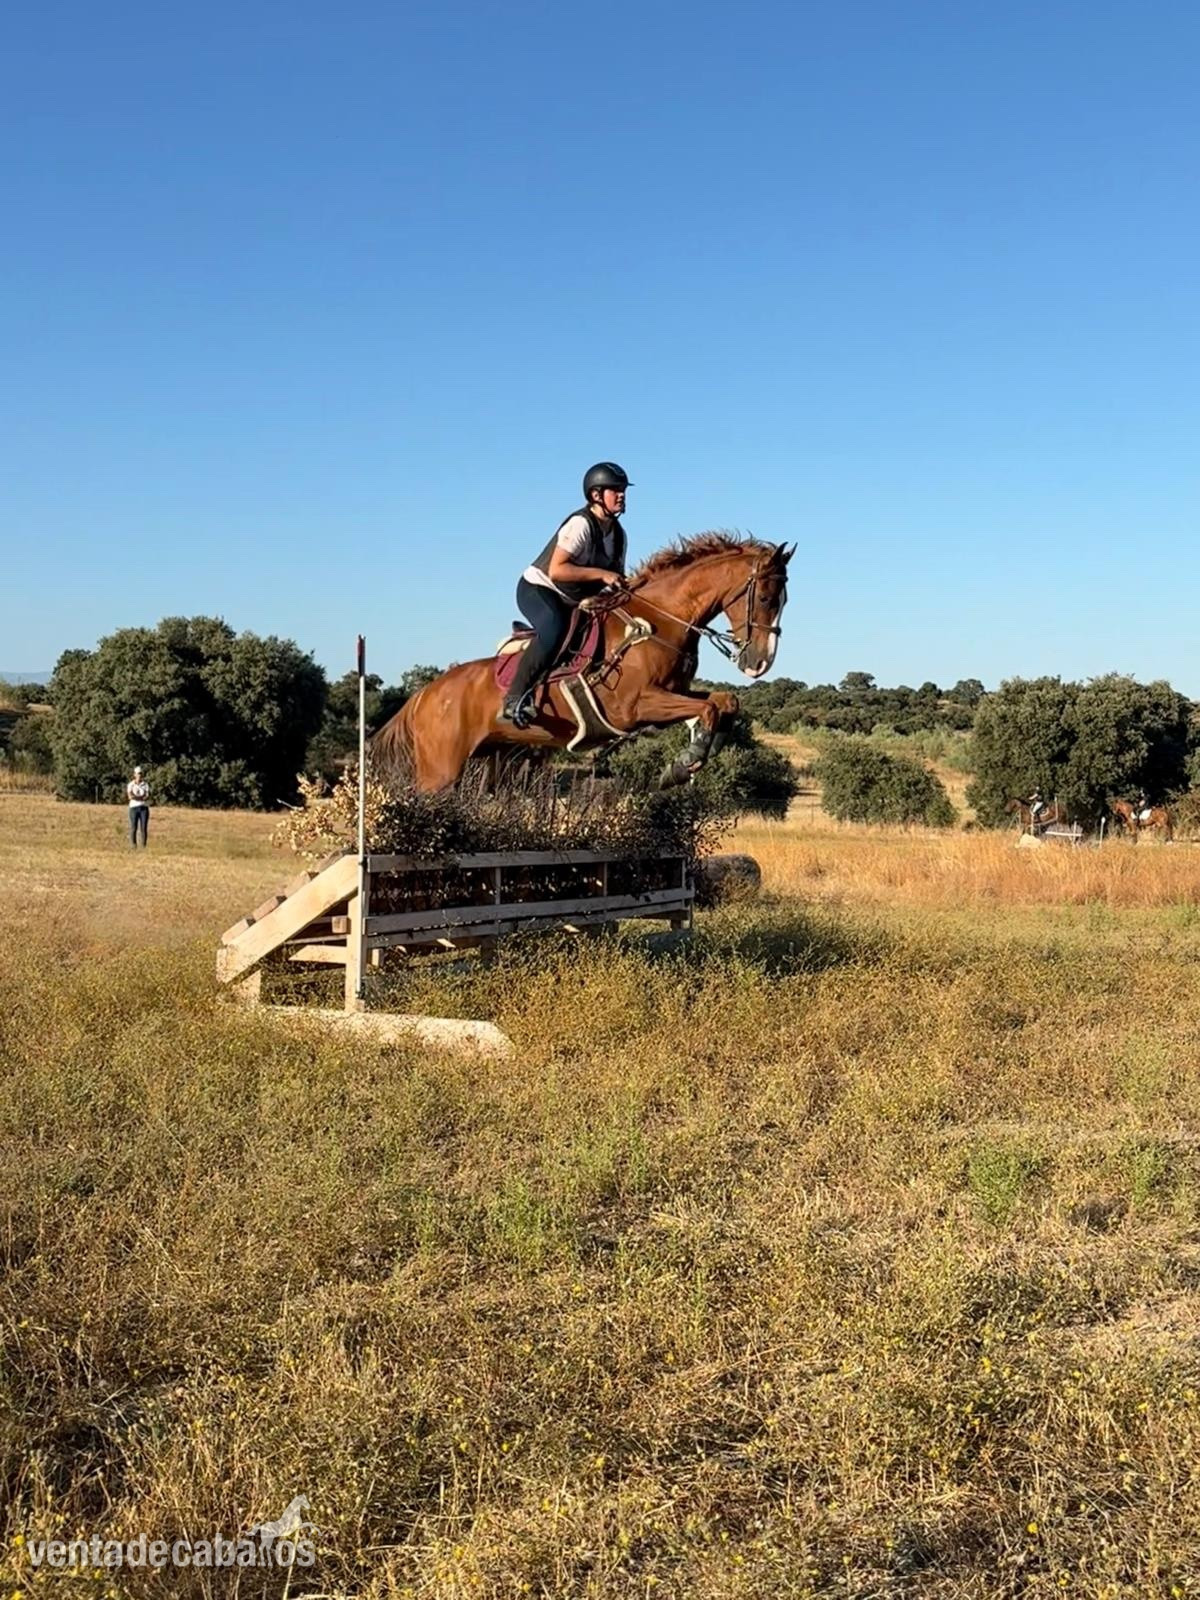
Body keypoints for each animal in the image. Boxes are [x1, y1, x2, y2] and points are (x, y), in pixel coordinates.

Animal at [372, 533, 793, 791]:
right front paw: (682, 765)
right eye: (767, 598)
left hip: (495, 759)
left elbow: (723, 702)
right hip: (440, 772)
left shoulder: (672, 694)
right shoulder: (636, 706)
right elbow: (708, 708)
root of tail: (425, 694)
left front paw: (701, 752)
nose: (760, 663)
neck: (662, 620)